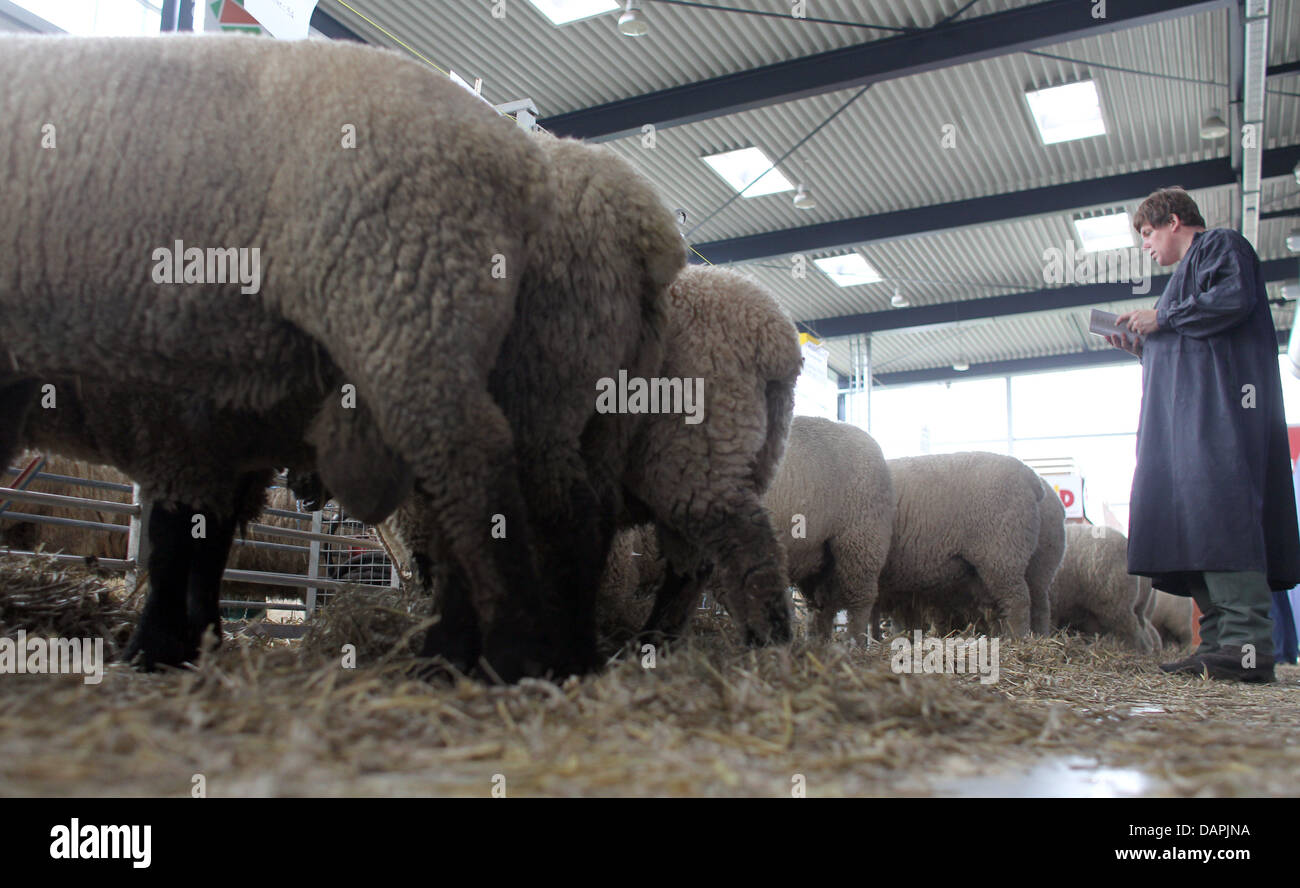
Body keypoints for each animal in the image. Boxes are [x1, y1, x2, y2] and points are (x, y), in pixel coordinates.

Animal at [2, 32, 564, 676]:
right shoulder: (213, 442)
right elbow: (200, 549)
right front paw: (193, 639)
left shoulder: (185, 433)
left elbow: (178, 547)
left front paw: (156, 647)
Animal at [759, 416, 899, 639]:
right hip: (815, 555)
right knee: (822, 605)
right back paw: (818, 641)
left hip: (862, 540)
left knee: (861, 601)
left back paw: (855, 642)